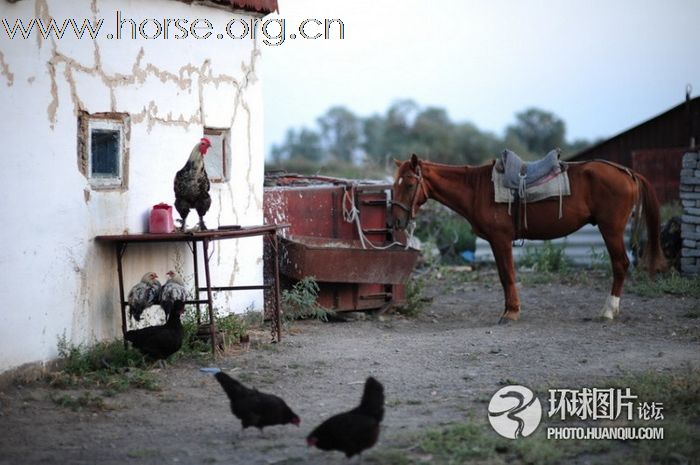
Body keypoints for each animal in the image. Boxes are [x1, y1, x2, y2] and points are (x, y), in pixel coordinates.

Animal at [394, 155, 668, 322]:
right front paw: (510, 309)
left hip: (611, 230)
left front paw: (511, 313)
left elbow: (507, 275)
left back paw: (609, 310)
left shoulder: (500, 239)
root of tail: (628, 173)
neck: (477, 189)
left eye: (409, 184)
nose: (396, 221)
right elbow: (505, 276)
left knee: (620, 264)